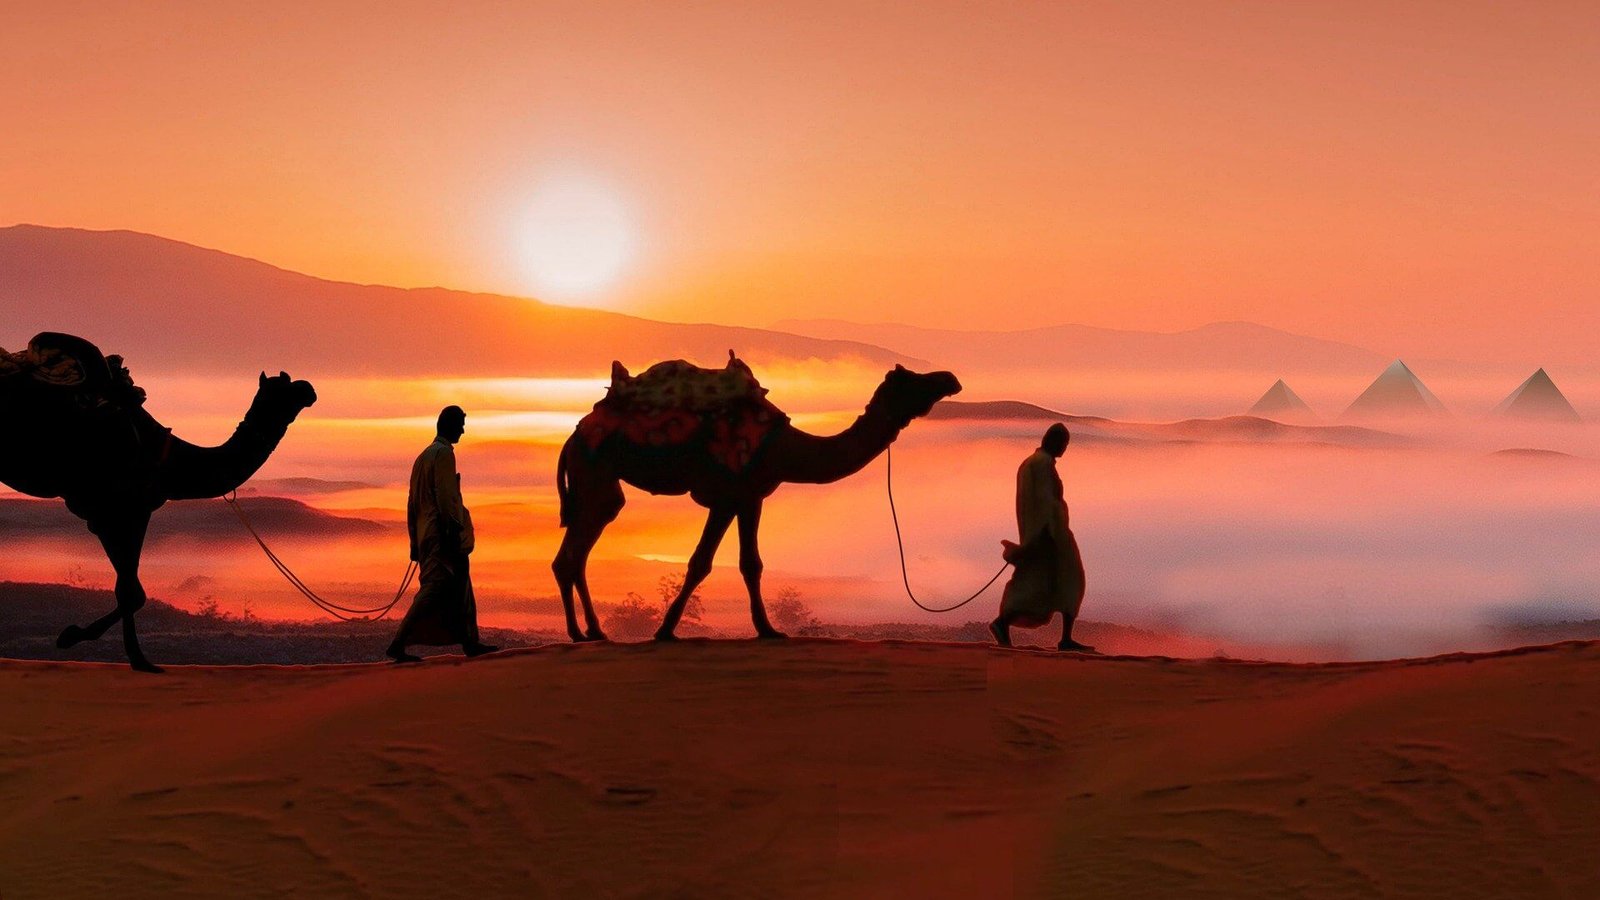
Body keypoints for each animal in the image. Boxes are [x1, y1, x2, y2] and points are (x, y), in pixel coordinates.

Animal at [0, 333, 316, 672]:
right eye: (282, 388)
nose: (309, 388)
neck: (169, 459)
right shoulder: (116, 510)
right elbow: (131, 592)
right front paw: (79, 639)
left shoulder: (124, 512)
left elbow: (129, 588)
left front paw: (132, 657)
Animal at [553, 360, 961, 642]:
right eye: (913, 380)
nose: (950, 378)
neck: (783, 448)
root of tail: (573, 436)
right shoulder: (726, 495)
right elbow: (700, 563)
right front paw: (665, 631)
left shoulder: (751, 497)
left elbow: (752, 564)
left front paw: (768, 629)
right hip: (595, 472)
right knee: (572, 554)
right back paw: (581, 633)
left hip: (596, 483)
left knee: (574, 555)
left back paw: (591, 632)